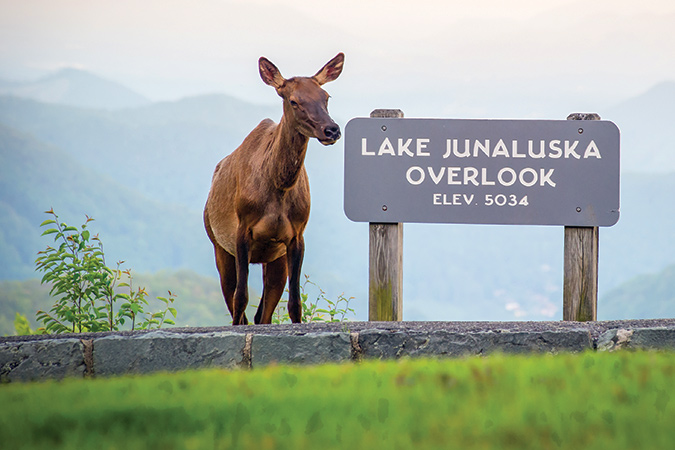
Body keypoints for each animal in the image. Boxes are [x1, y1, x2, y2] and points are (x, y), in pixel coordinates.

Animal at [204, 53, 344, 325]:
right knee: (236, 303)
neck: (278, 189)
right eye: (293, 100)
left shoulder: (296, 235)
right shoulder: (241, 231)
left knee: (263, 314)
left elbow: (295, 304)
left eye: (326, 97)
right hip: (218, 245)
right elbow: (240, 299)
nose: (332, 129)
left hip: (274, 258)